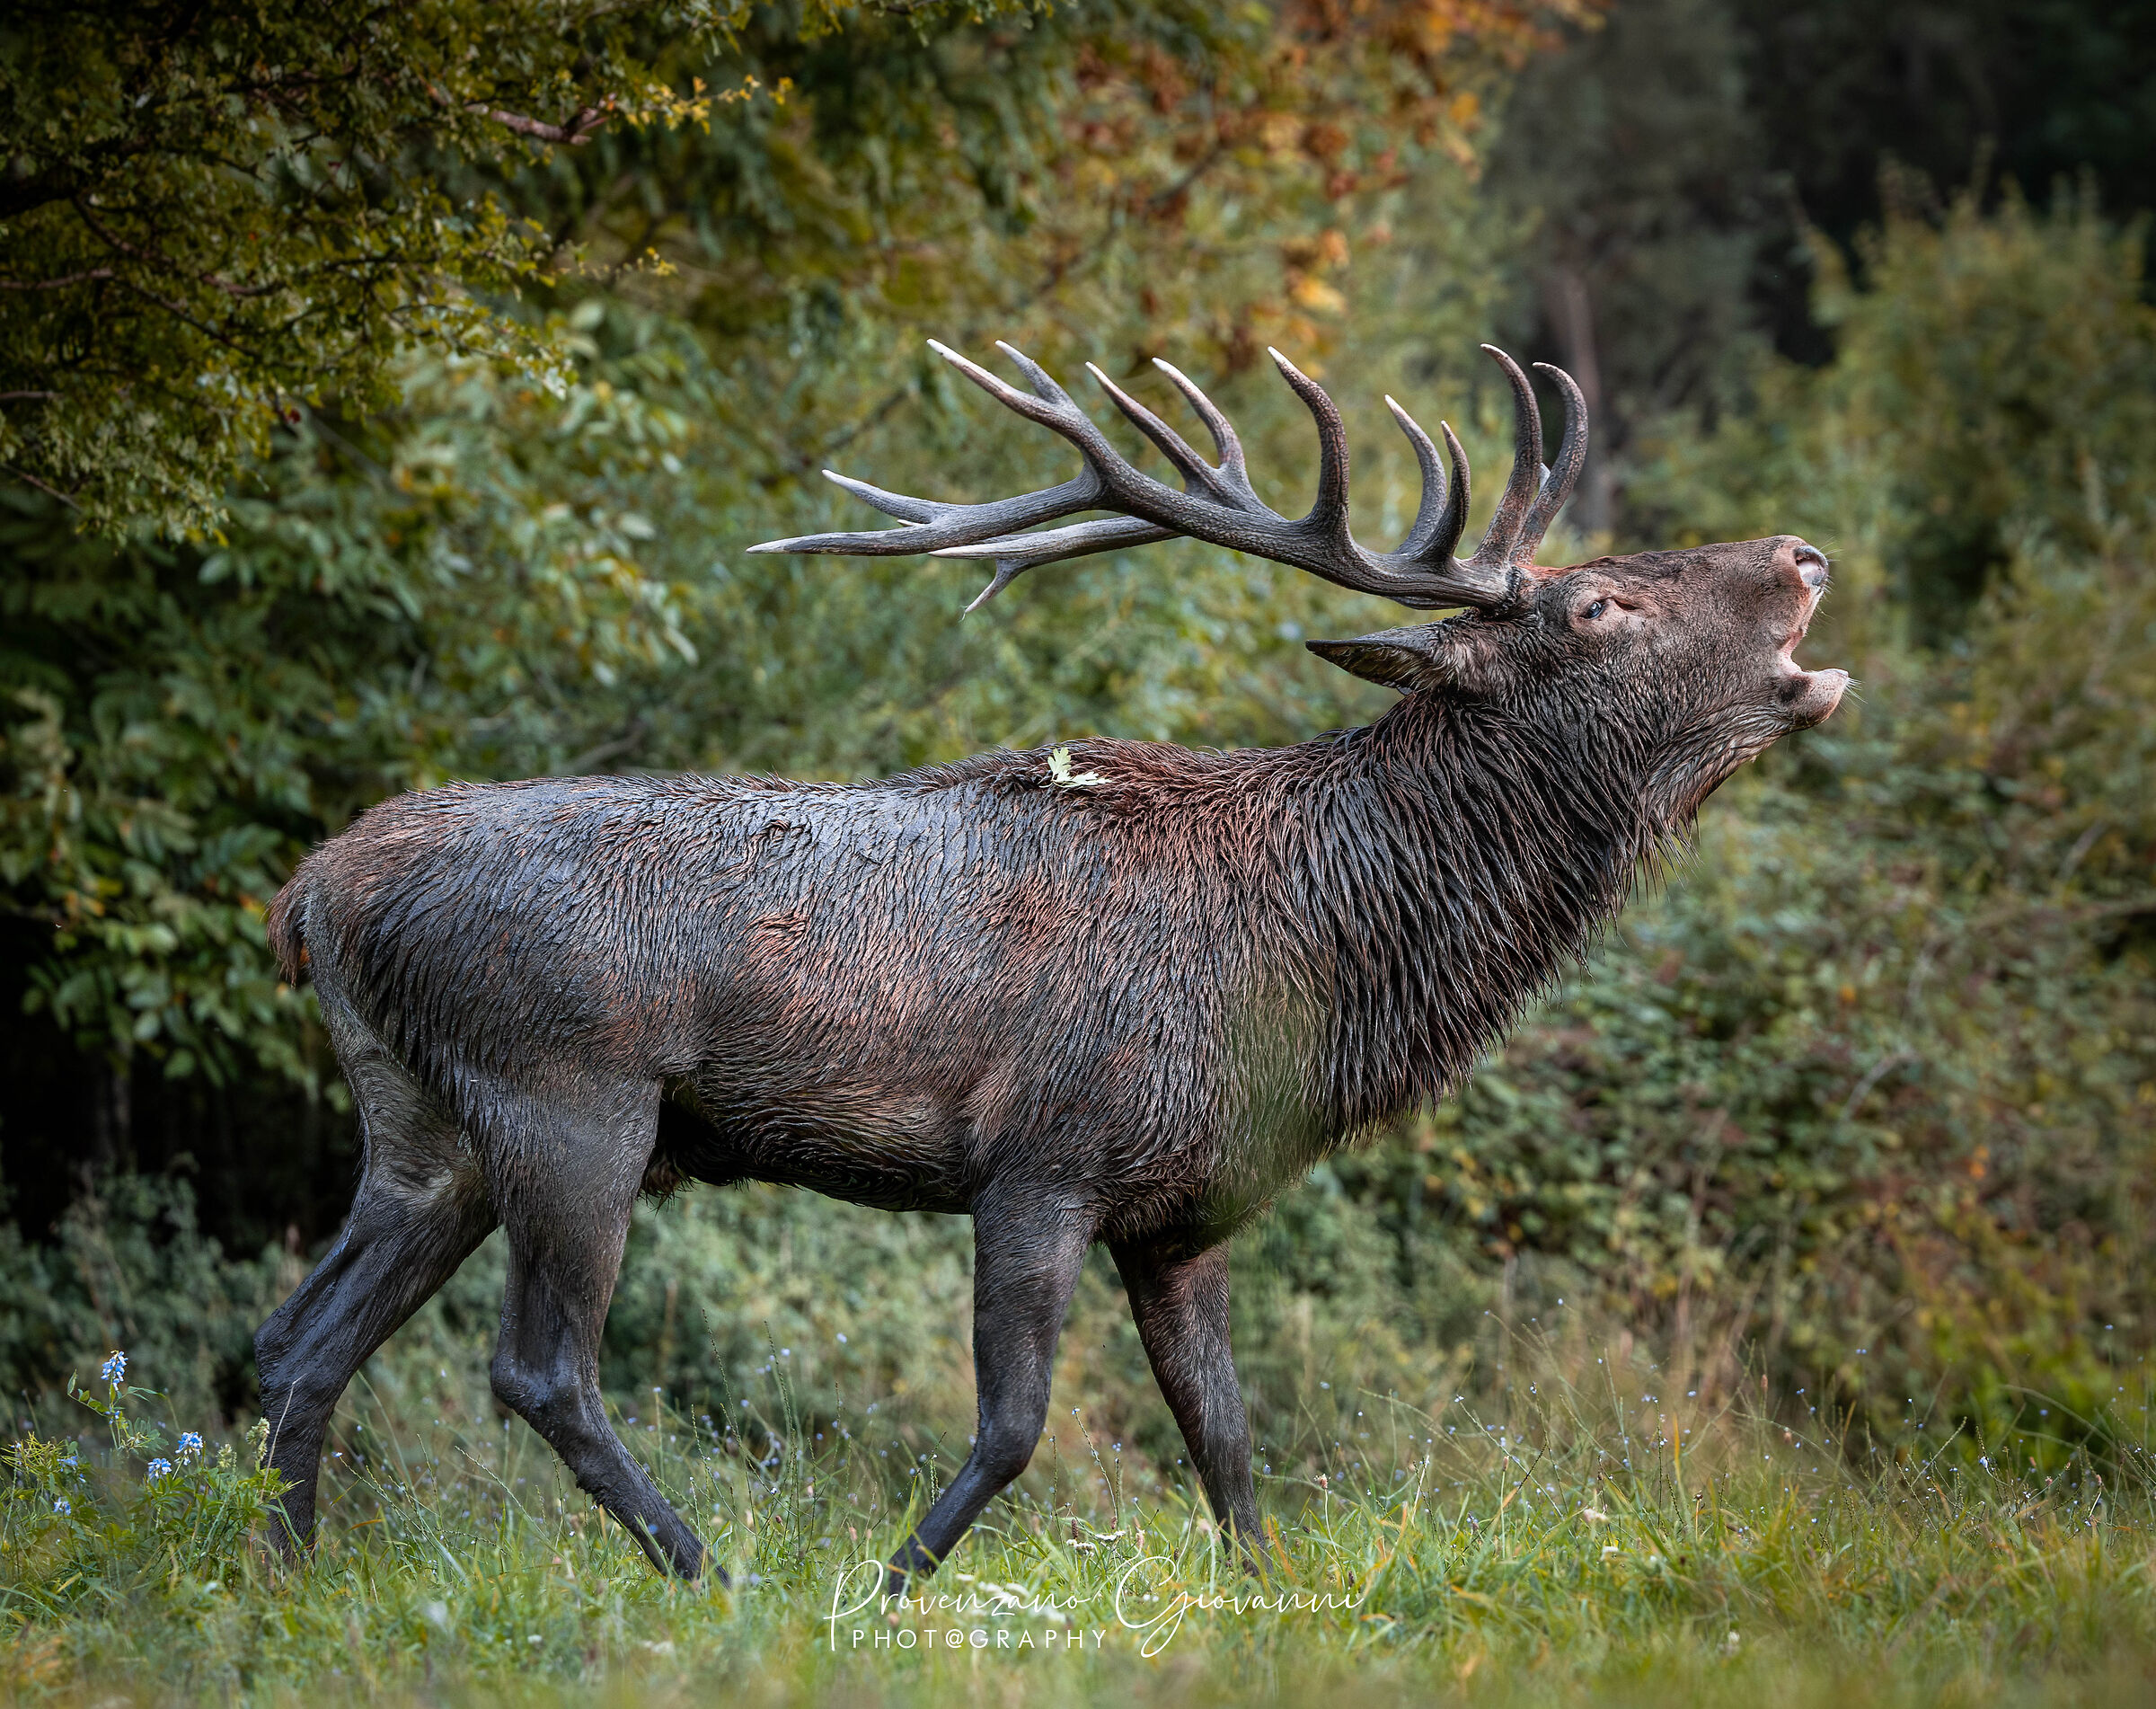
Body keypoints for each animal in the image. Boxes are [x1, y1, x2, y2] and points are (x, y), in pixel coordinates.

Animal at [256, 336, 1847, 1593]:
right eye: (1596, 606)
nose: (1802, 553)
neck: (1311, 975)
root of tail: (312, 894)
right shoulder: (1044, 1154)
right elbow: (1015, 1430)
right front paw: (889, 1592)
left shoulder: (1184, 1208)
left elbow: (1229, 1444)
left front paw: (1268, 1601)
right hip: (570, 1098)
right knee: (538, 1367)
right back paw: (707, 1574)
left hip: (427, 1126)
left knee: (297, 1338)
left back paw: (284, 1578)